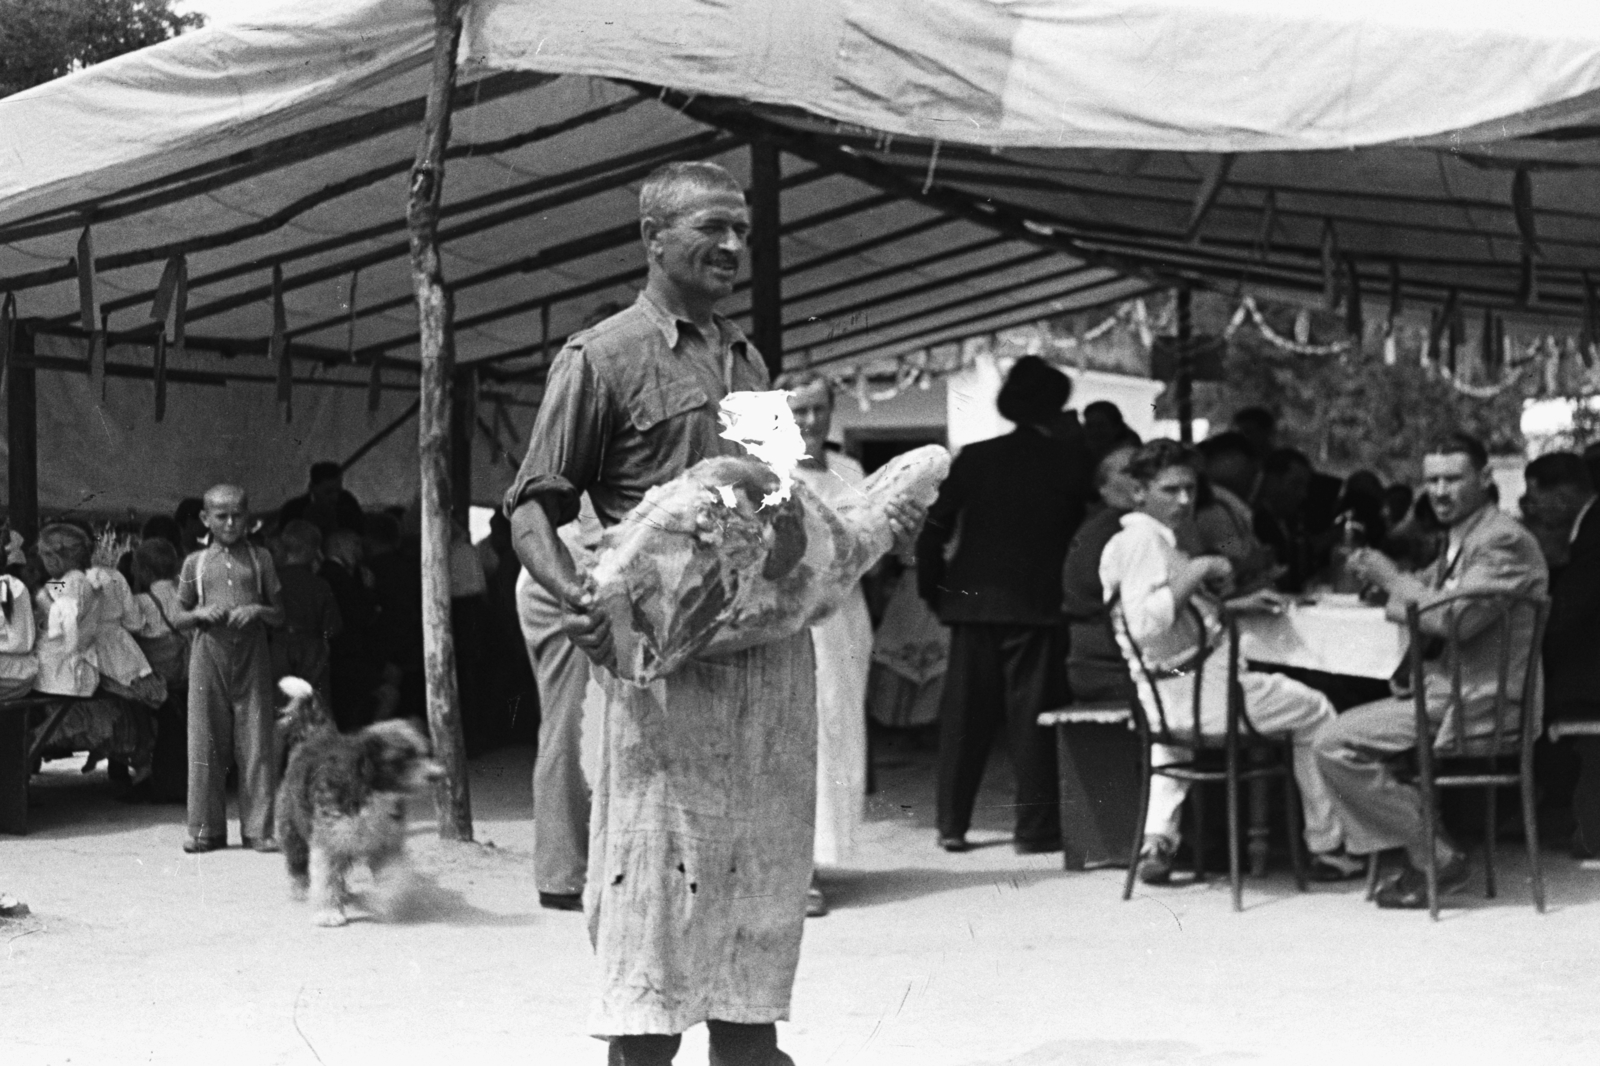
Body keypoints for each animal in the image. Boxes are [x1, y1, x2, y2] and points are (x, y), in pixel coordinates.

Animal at [272, 681, 441, 921]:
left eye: (425, 752)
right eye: (403, 757)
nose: (438, 774)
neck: (372, 791)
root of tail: (316, 738)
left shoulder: (385, 844)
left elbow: (393, 877)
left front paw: (386, 902)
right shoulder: (330, 841)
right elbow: (326, 878)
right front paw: (328, 912)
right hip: (292, 828)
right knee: (297, 862)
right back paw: (301, 889)